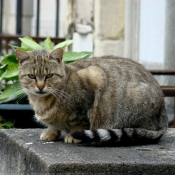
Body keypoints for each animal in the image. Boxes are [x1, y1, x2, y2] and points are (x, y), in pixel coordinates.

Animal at [16, 48, 168, 146]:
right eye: (31, 76)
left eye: (49, 75)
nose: (40, 87)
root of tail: (164, 118)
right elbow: (54, 126)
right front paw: (51, 132)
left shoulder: (93, 76)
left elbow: (79, 123)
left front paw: (73, 135)